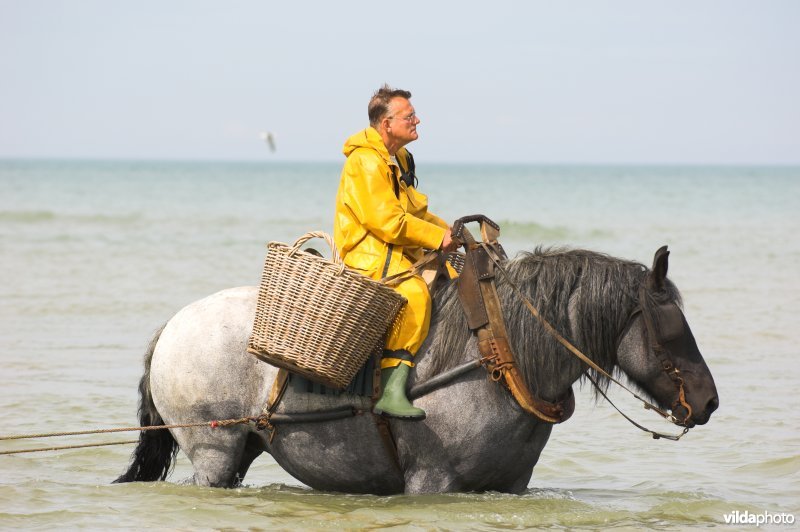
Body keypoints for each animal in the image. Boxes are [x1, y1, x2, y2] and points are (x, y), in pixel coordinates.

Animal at [114, 246, 718, 494]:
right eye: (670, 328)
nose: (709, 400)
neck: (498, 361)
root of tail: (172, 325)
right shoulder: (433, 481)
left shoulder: (512, 486)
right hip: (213, 453)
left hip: (239, 452)